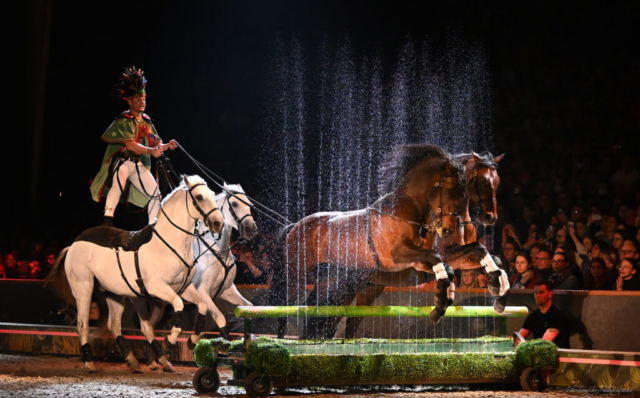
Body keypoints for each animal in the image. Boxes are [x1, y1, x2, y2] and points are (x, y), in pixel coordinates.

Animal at [48, 176, 222, 372]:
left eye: (213, 194)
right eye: (199, 197)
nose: (218, 223)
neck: (170, 244)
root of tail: (73, 244)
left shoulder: (183, 288)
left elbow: (202, 306)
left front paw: (192, 341)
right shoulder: (157, 287)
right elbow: (178, 309)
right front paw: (169, 342)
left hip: (115, 294)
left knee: (117, 326)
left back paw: (137, 360)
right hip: (83, 287)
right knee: (82, 324)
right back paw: (90, 362)